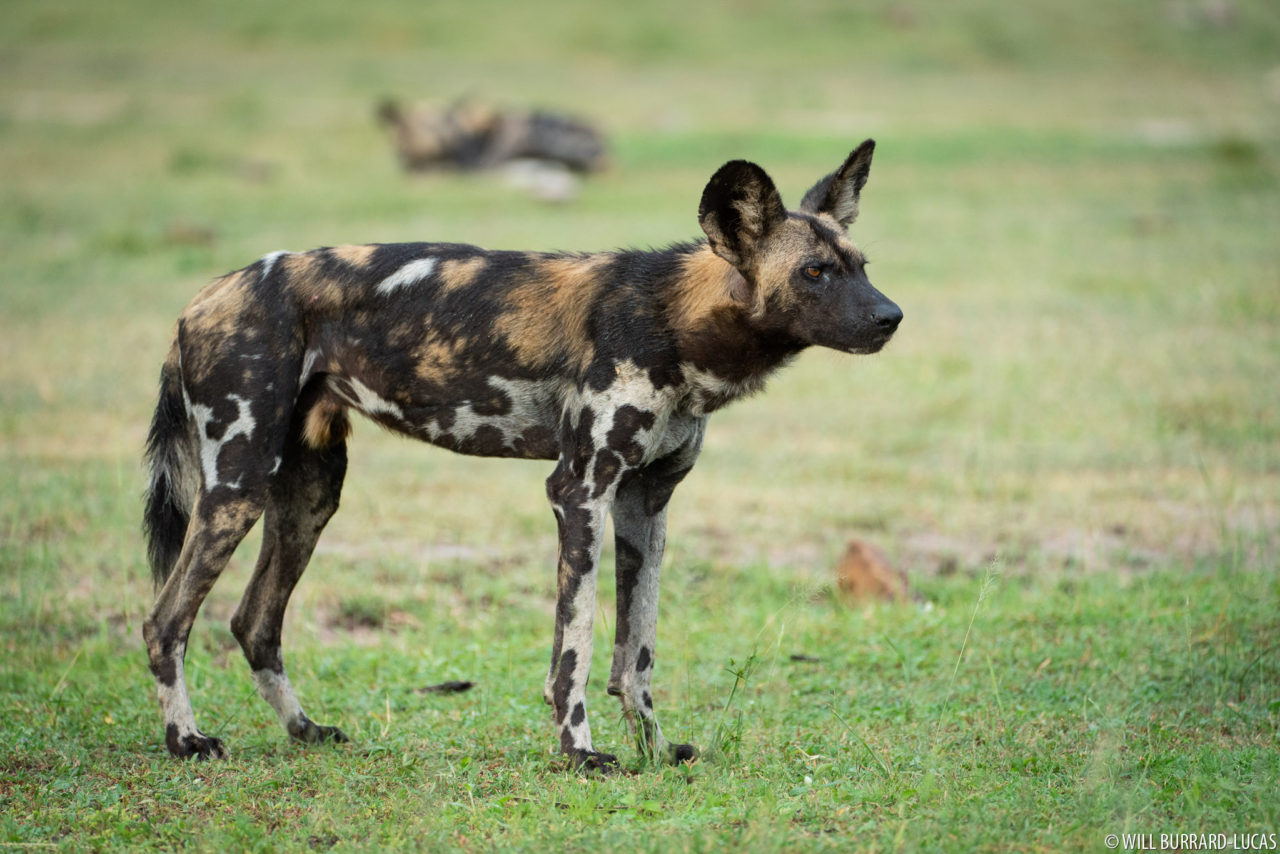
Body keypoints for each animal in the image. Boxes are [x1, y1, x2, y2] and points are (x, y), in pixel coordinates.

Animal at [142, 142, 901, 773]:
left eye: (862, 268)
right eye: (814, 272)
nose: (891, 317)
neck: (673, 322)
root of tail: (204, 295)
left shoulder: (646, 506)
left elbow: (637, 654)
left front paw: (655, 749)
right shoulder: (580, 492)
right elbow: (578, 648)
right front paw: (581, 753)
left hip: (308, 498)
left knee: (254, 623)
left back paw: (304, 730)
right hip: (235, 488)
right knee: (165, 621)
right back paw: (187, 741)